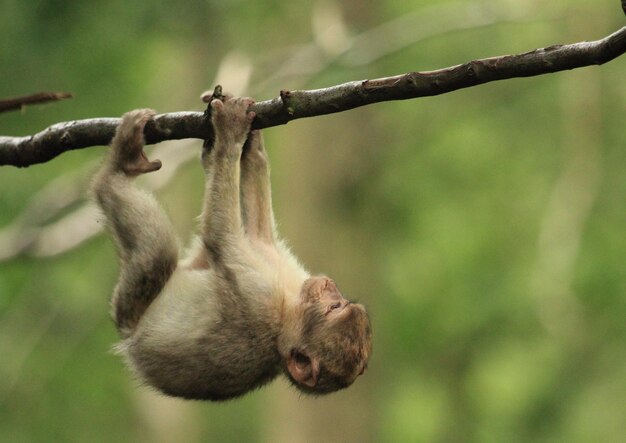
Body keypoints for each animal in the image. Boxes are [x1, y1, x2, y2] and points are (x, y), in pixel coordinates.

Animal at [91, 97, 370, 402]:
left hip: (132, 310)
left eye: (334, 307)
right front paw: (252, 145)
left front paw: (231, 133)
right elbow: (260, 236)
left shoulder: (260, 300)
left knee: (157, 254)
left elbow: (221, 236)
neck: (286, 313)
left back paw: (119, 168)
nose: (329, 287)